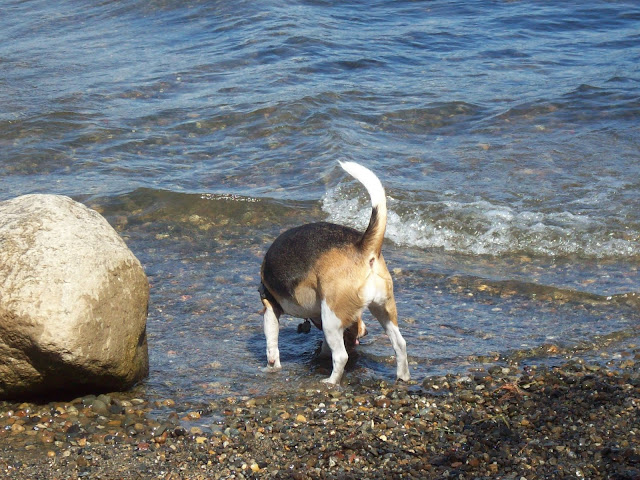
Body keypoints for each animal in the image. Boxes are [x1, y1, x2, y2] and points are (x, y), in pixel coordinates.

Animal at [259, 161, 410, 385]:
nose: (365, 332)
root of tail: (362, 247)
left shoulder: (270, 306)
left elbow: (272, 344)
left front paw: (271, 368)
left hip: (332, 316)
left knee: (341, 357)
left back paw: (330, 382)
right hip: (384, 309)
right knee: (400, 344)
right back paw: (403, 377)